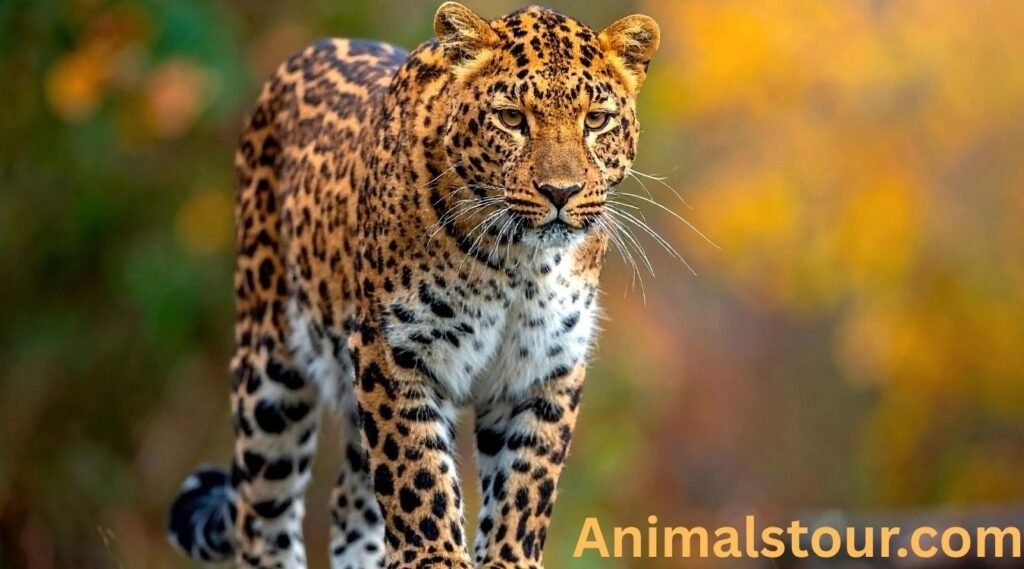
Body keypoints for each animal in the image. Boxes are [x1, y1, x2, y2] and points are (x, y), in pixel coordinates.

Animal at [167, 3, 660, 568]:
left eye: (596, 120)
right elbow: (417, 479)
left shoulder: (543, 367)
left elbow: (525, 486)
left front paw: (508, 555)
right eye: (512, 118)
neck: (520, 262)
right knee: (262, 517)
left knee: (348, 504)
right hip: (271, 368)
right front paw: (437, 555)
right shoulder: (394, 352)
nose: (561, 191)